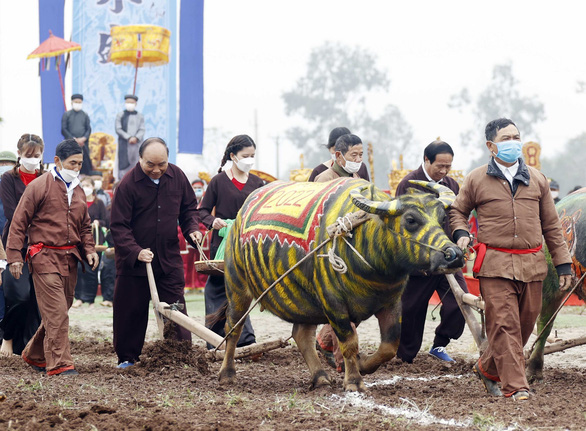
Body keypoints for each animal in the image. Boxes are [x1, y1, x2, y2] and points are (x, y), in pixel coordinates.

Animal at [217, 177, 464, 394]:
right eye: (411, 220)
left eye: (442, 217)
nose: (454, 255)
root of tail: (238, 218)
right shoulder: (333, 304)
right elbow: (349, 343)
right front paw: (354, 381)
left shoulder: (392, 303)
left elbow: (389, 346)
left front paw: (363, 364)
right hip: (237, 286)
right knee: (233, 328)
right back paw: (227, 374)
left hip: (303, 299)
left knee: (302, 335)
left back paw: (320, 377)